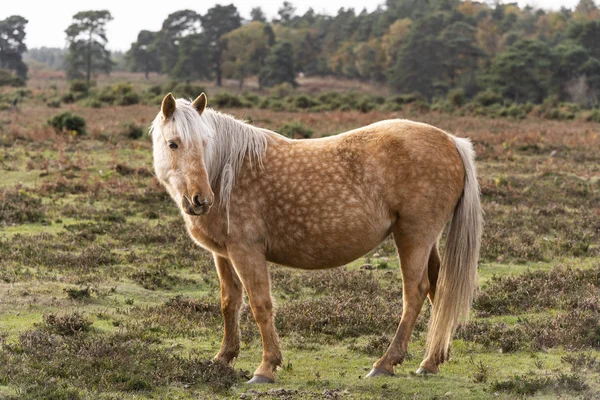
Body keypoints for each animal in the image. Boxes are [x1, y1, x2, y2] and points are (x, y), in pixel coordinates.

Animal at [150, 92, 482, 382]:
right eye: (173, 144)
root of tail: (451, 141)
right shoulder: (223, 253)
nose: (201, 200)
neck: (227, 171)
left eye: (205, 142)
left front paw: (266, 367)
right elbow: (229, 302)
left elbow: (260, 304)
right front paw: (223, 358)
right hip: (427, 241)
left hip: (414, 236)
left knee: (415, 292)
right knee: (438, 289)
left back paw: (385, 363)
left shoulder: (247, 252)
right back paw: (431, 361)